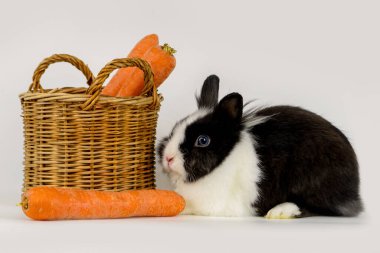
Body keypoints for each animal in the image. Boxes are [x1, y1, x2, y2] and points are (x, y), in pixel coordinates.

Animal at [157, 74, 362, 217]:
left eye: (203, 140)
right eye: (175, 128)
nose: (168, 157)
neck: (225, 160)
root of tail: (355, 192)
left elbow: (187, 205)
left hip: (311, 180)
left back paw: (280, 211)